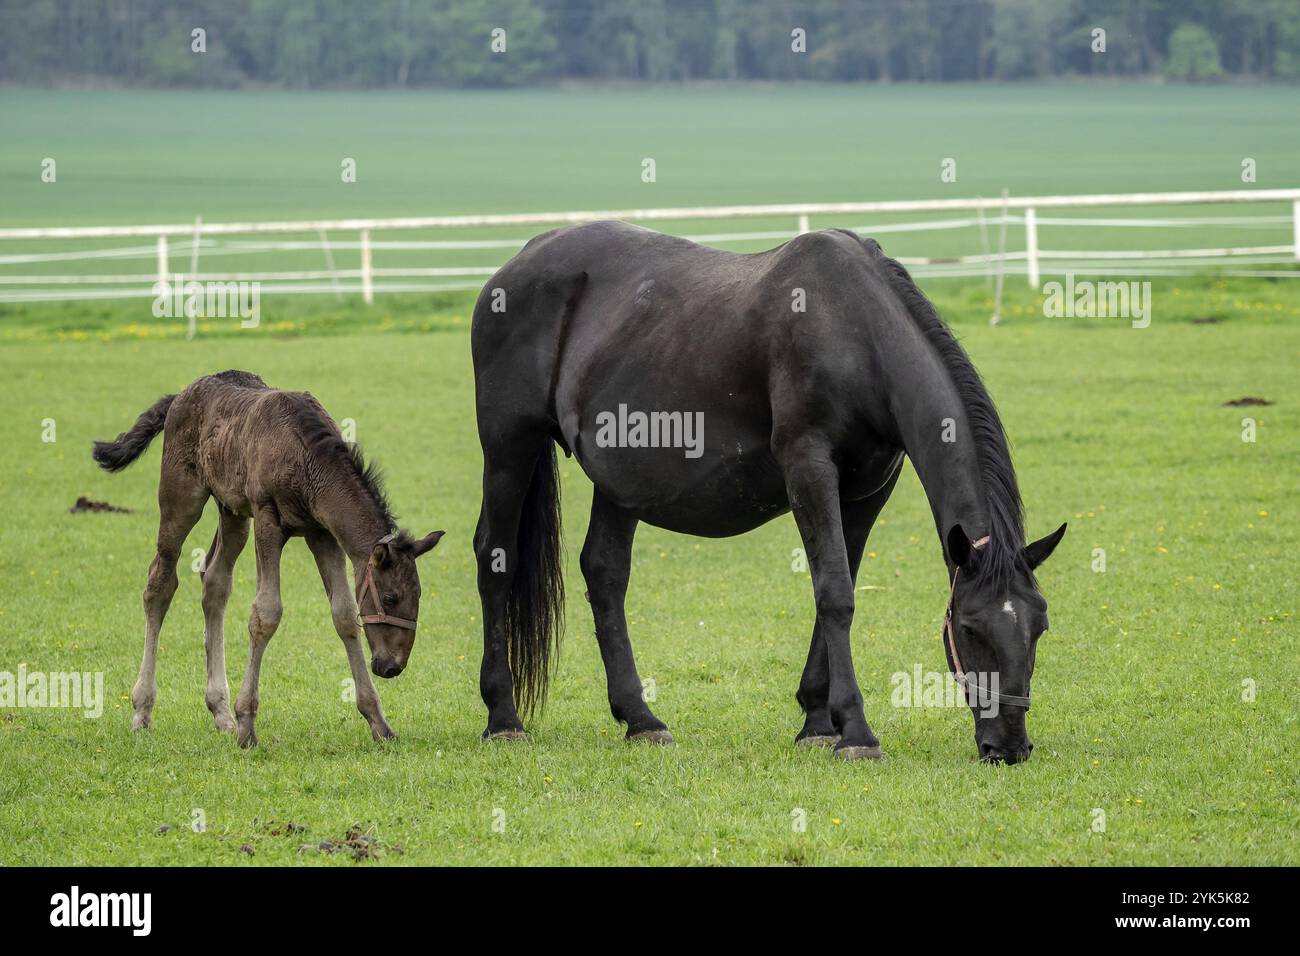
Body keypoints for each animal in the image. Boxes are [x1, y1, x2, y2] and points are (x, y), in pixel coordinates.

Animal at [473, 221, 1060, 764]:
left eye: (1040, 626)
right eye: (971, 628)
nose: (1010, 746)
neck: (853, 330)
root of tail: (518, 262)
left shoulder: (869, 489)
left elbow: (841, 586)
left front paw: (818, 721)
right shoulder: (808, 467)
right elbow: (835, 593)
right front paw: (856, 733)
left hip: (620, 480)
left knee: (605, 572)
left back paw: (640, 719)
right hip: (509, 448)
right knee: (494, 559)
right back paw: (503, 718)